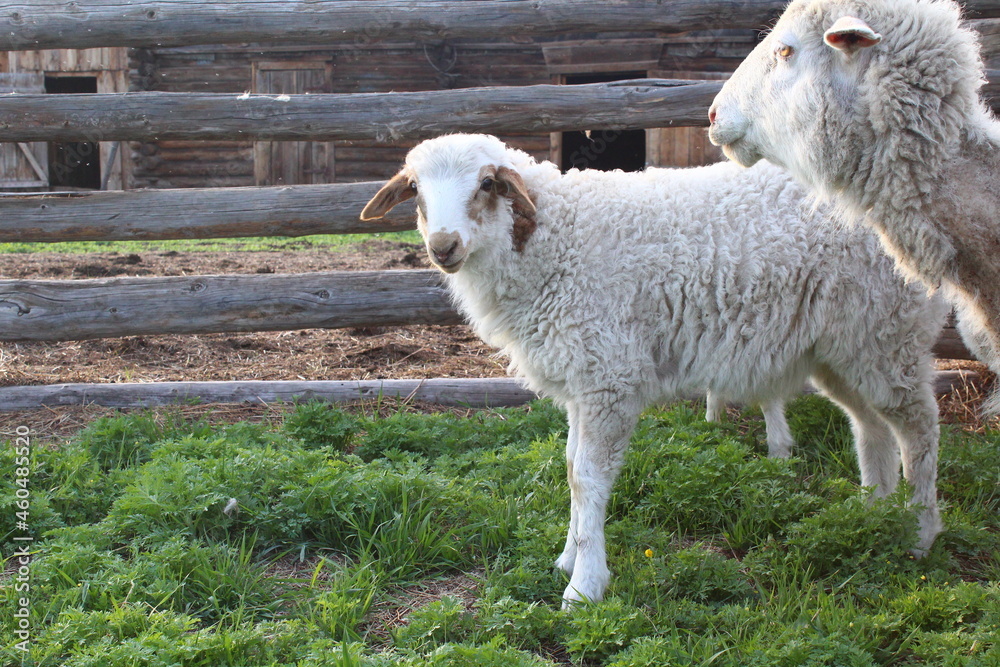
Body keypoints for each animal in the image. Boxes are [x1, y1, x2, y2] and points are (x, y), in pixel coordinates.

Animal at [360, 133, 946, 606]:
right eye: (414, 189)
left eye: (486, 184)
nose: (443, 246)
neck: (553, 239)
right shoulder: (583, 381)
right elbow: (571, 468)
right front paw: (568, 558)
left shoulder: (608, 376)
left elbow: (587, 478)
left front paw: (585, 586)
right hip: (842, 347)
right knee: (871, 427)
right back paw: (874, 513)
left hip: (888, 333)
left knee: (918, 430)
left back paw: (920, 534)